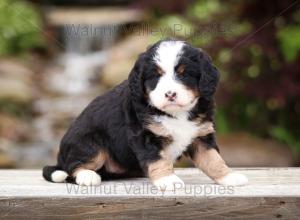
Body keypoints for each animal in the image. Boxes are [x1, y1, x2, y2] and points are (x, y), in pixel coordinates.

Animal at [42, 39, 248, 189]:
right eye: (155, 75)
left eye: (184, 74)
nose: (170, 94)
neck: (176, 114)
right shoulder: (145, 136)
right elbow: (158, 159)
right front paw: (167, 180)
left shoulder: (201, 134)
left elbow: (213, 159)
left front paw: (229, 176)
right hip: (90, 143)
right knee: (73, 167)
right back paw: (87, 176)